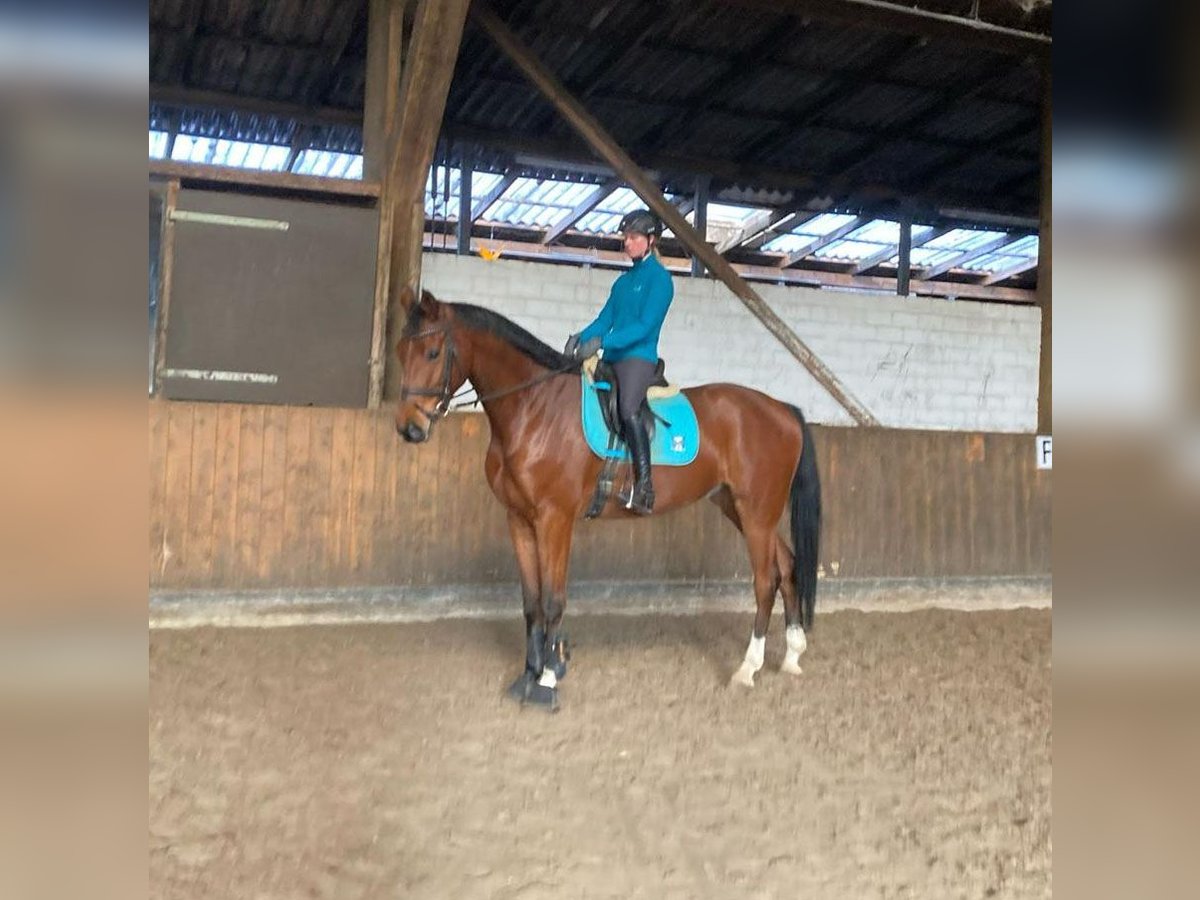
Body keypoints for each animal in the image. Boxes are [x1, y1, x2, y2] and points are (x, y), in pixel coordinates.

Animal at [388, 289, 820, 710]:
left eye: (432, 353)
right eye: (401, 352)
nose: (409, 429)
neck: (535, 408)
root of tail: (782, 410)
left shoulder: (555, 519)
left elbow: (552, 600)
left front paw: (547, 680)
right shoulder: (519, 519)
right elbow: (530, 602)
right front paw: (528, 675)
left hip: (757, 511)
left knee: (766, 580)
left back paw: (747, 669)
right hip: (739, 507)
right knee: (787, 566)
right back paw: (792, 655)